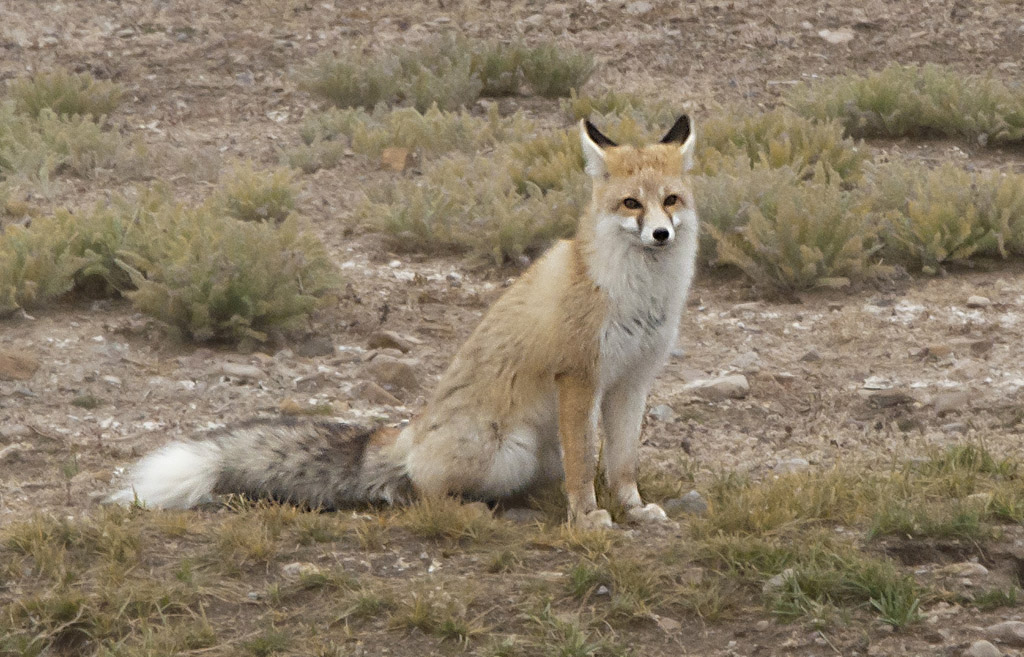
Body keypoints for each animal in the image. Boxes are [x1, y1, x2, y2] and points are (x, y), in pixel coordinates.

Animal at [108, 115, 700, 528]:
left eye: (670, 201)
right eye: (631, 204)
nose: (661, 235)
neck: (637, 295)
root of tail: (407, 432)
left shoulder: (631, 381)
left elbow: (622, 463)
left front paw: (633, 509)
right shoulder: (578, 378)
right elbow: (584, 467)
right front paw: (586, 518)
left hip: (534, 456)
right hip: (509, 450)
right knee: (418, 496)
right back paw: (469, 509)